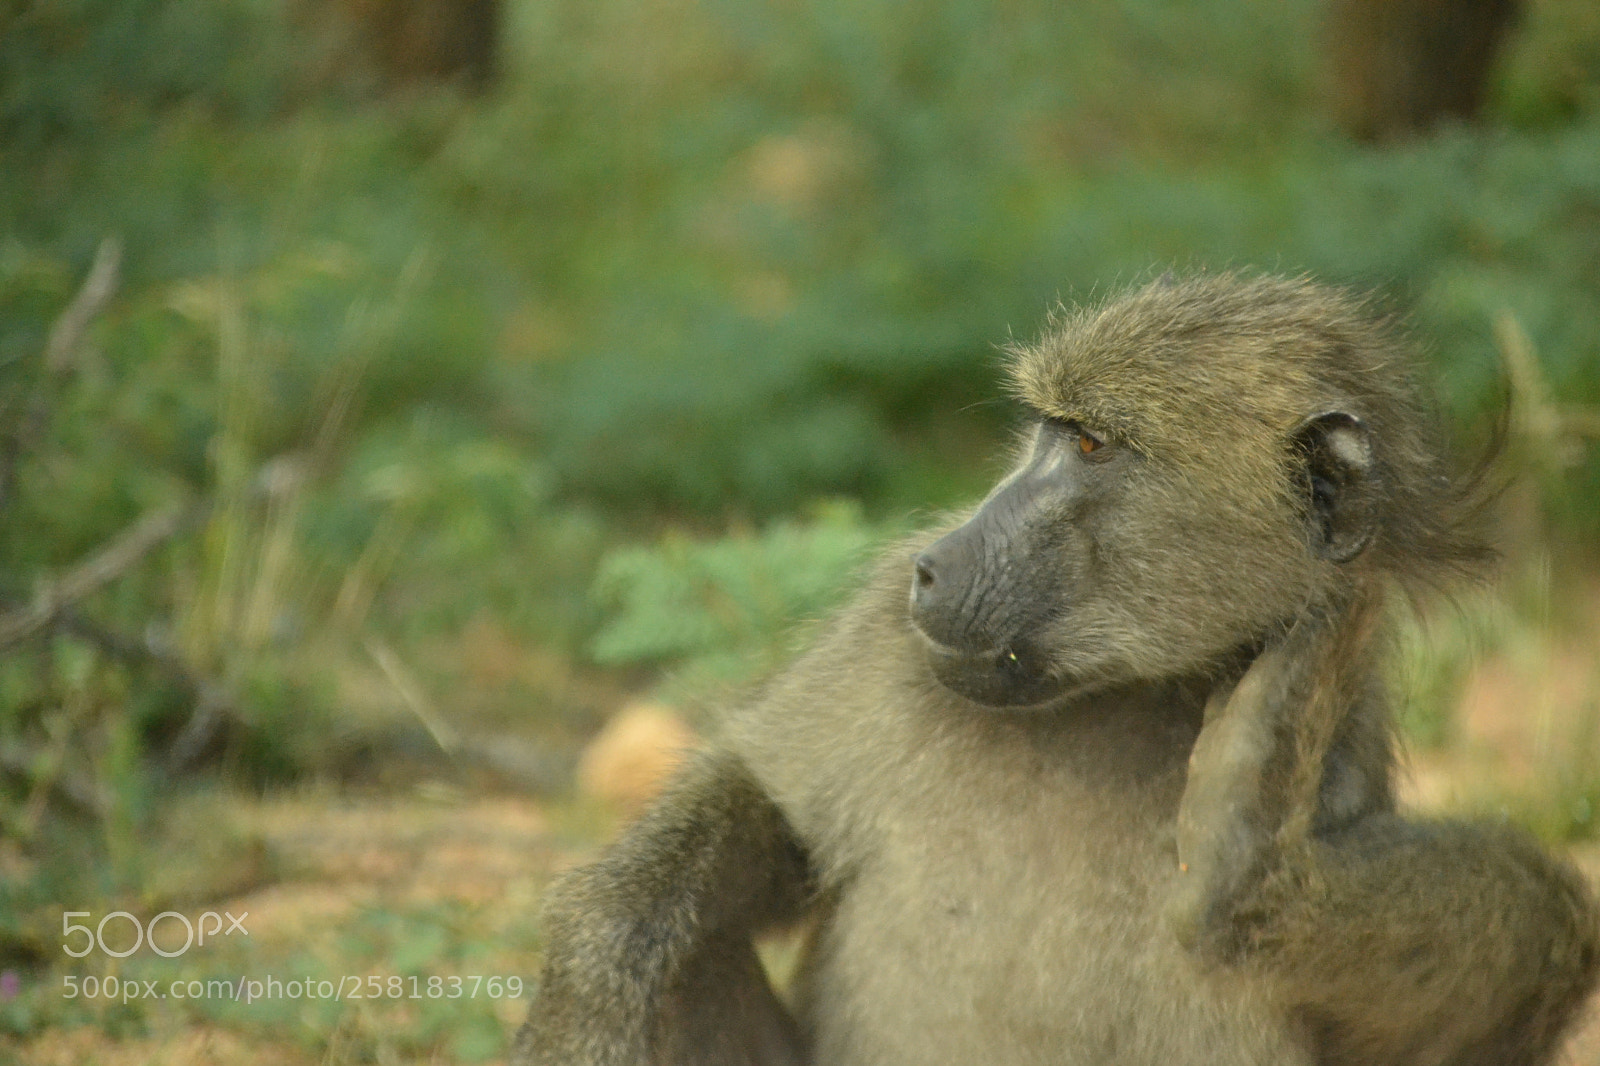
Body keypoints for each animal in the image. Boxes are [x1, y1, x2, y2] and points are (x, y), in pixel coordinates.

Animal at [513, 273, 1600, 1066]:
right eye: (1046, 431)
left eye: (1088, 444)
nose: (934, 563)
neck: (1139, 693)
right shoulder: (890, 651)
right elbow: (765, 813)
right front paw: (599, 961)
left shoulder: (1342, 741)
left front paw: (1246, 846)